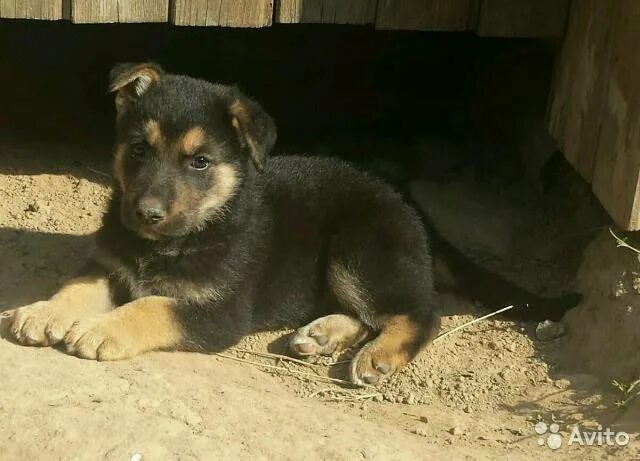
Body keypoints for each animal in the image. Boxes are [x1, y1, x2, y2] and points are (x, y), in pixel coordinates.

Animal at [8, 62, 440, 384]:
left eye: (200, 162)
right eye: (139, 150)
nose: (146, 213)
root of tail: (398, 198)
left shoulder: (223, 311)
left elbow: (153, 304)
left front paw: (102, 329)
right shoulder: (109, 265)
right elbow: (78, 286)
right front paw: (43, 312)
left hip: (357, 252)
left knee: (420, 313)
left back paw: (377, 356)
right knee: (367, 315)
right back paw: (320, 334)